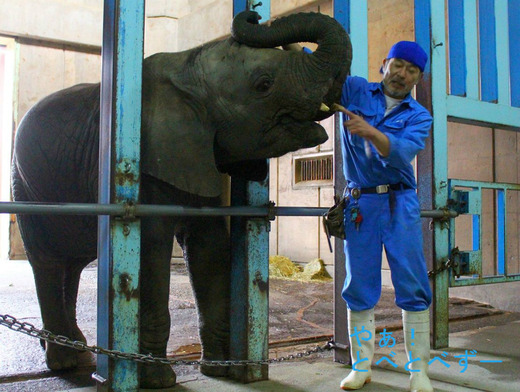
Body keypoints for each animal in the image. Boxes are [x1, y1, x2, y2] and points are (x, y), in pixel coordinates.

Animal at [12, 9, 352, 388]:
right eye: (263, 85)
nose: (252, 14)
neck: (188, 70)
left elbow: (208, 246)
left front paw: (220, 370)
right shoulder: (152, 157)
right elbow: (154, 247)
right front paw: (159, 380)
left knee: (70, 265)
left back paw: (78, 352)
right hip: (26, 186)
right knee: (47, 260)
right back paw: (65, 362)